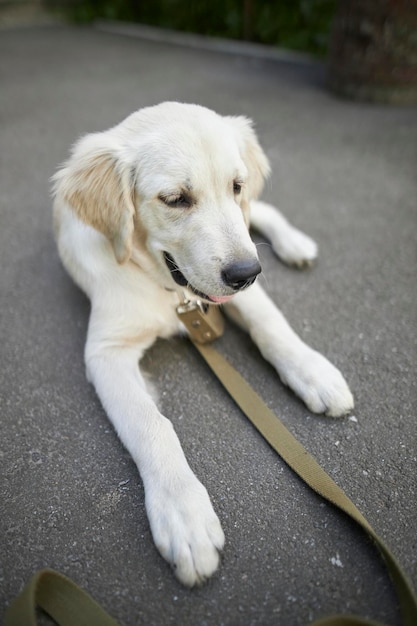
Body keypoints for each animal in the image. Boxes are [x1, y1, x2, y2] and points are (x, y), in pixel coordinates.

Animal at [51, 101, 352, 584]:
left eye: (235, 185)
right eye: (176, 199)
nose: (247, 273)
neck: (167, 288)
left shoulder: (236, 285)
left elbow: (271, 324)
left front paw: (313, 371)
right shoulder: (106, 351)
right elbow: (152, 425)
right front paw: (184, 515)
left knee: (260, 211)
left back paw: (294, 243)